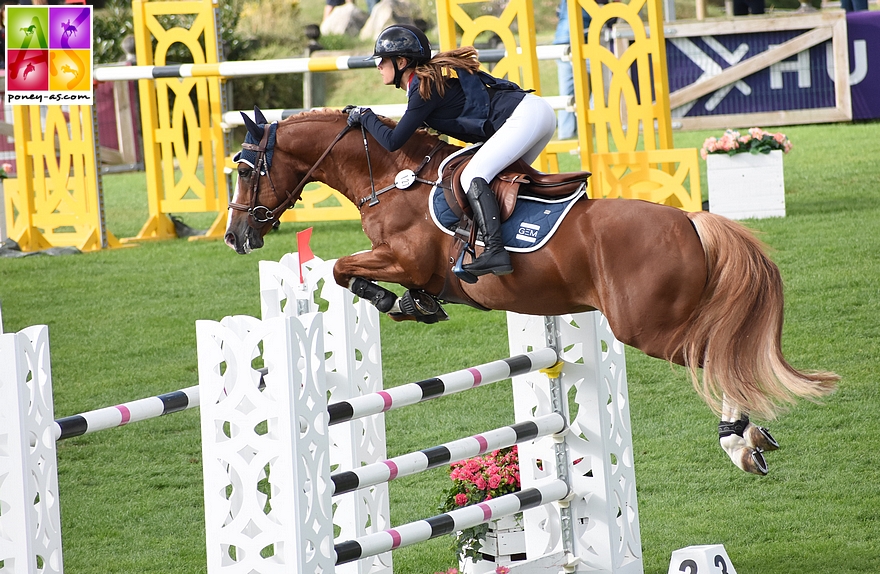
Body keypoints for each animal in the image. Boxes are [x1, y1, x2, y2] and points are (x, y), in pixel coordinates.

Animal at [223, 108, 836, 476]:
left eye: (246, 168)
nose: (234, 236)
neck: (392, 179)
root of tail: (689, 218)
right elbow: (345, 272)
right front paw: (416, 304)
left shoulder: (403, 257)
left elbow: (340, 270)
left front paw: (397, 302)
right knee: (722, 351)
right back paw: (753, 436)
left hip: (648, 327)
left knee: (715, 357)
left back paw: (740, 441)